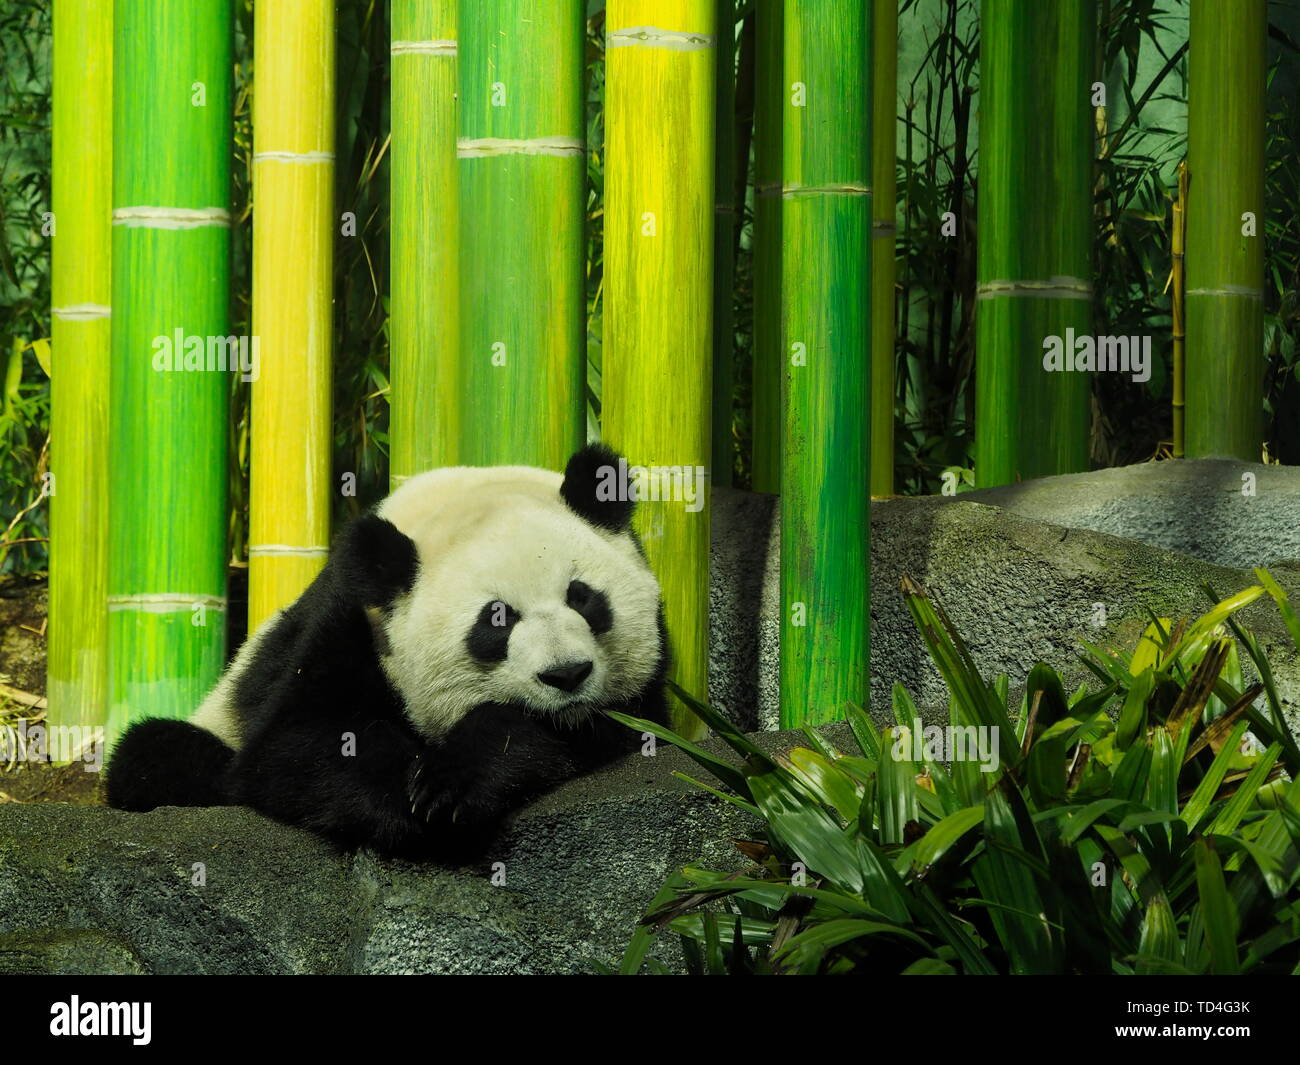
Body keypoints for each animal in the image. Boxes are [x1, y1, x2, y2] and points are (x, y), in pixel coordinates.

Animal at [104, 443, 670, 859]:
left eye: (582, 597)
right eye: (496, 619)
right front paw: (411, 798)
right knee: (156, 755)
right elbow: (295, 745)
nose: (567, 674)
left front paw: (452, 785)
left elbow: (618, 728)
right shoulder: (347, 625)